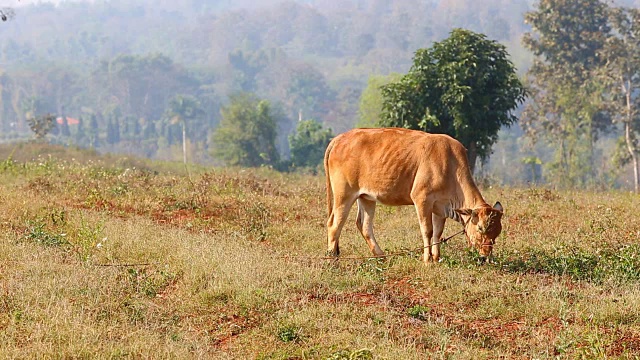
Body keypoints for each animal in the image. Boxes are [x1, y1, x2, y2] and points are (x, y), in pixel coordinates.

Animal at [324, 128, 504, 262]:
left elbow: (438, 232)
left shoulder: (440, 207)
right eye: (480, 228)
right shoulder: (422, 199)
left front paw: (436, 257)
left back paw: (380, 256)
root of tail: (339, 138)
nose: (485, 257)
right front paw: (427, 259)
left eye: (497, 233)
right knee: (334, 224)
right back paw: (333, 259)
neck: (451, 166)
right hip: (344, 194)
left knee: (364, 225)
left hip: (366, 197)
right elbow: (427, 231)